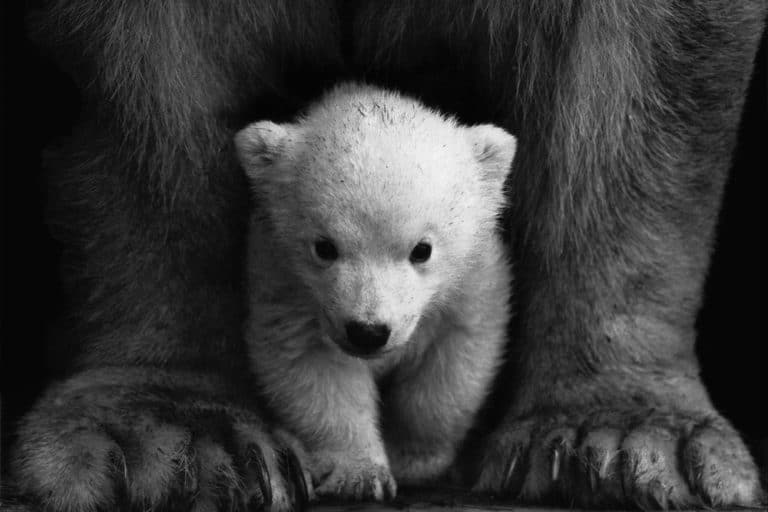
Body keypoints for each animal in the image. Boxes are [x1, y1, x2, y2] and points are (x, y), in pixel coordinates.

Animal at [234, 82, 515, 501]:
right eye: (324, 247)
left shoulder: (472, 283)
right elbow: (313, 368)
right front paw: (359, 474)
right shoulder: (284, 284)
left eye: (422, 249)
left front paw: (414, 459)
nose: (368, 332)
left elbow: (453, 364)